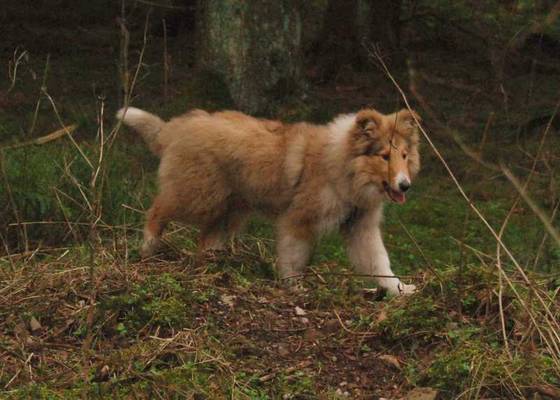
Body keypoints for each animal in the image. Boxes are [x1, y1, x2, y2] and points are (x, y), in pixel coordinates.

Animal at [117, 106, 421, 295]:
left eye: (404, 155)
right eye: (384, 156)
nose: (405, 185)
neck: (342, 164)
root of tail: (177, 127)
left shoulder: (360, 227)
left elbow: (379, 262)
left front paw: (400, 290)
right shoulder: (298, 219)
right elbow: (293, 257)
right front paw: (293, 287)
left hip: (229, 209)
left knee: (206, 239)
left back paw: (213, 266)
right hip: (198, 196)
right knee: (156, 210)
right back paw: (148, 247)